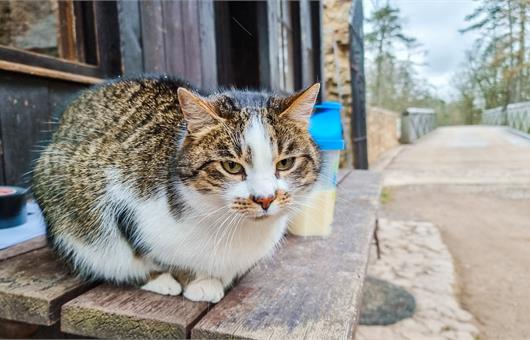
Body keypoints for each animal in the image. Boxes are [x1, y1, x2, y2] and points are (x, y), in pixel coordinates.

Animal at [34, 77, 322, 302]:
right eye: (231, 166)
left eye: (285, 163)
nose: (265, 199)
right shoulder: (119, 199)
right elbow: (151, 255)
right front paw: (196, 282)